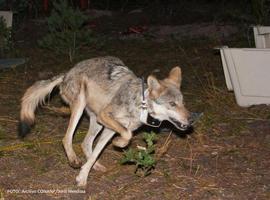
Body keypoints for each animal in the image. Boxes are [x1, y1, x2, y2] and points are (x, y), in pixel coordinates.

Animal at [18, 55, 192, 187]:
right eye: (172, 104)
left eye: (183, 103)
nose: (191, 119)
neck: (140, 104)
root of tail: (67, 72)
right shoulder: (106, 117)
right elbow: (127, 135)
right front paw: (119, 144)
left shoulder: (110, 128)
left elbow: (98, 151)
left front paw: (83, 176)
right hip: (82, 108)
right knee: (67, 139)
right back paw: (74, 159)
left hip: (96, 122)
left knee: (86, 143)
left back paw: (95, 166)